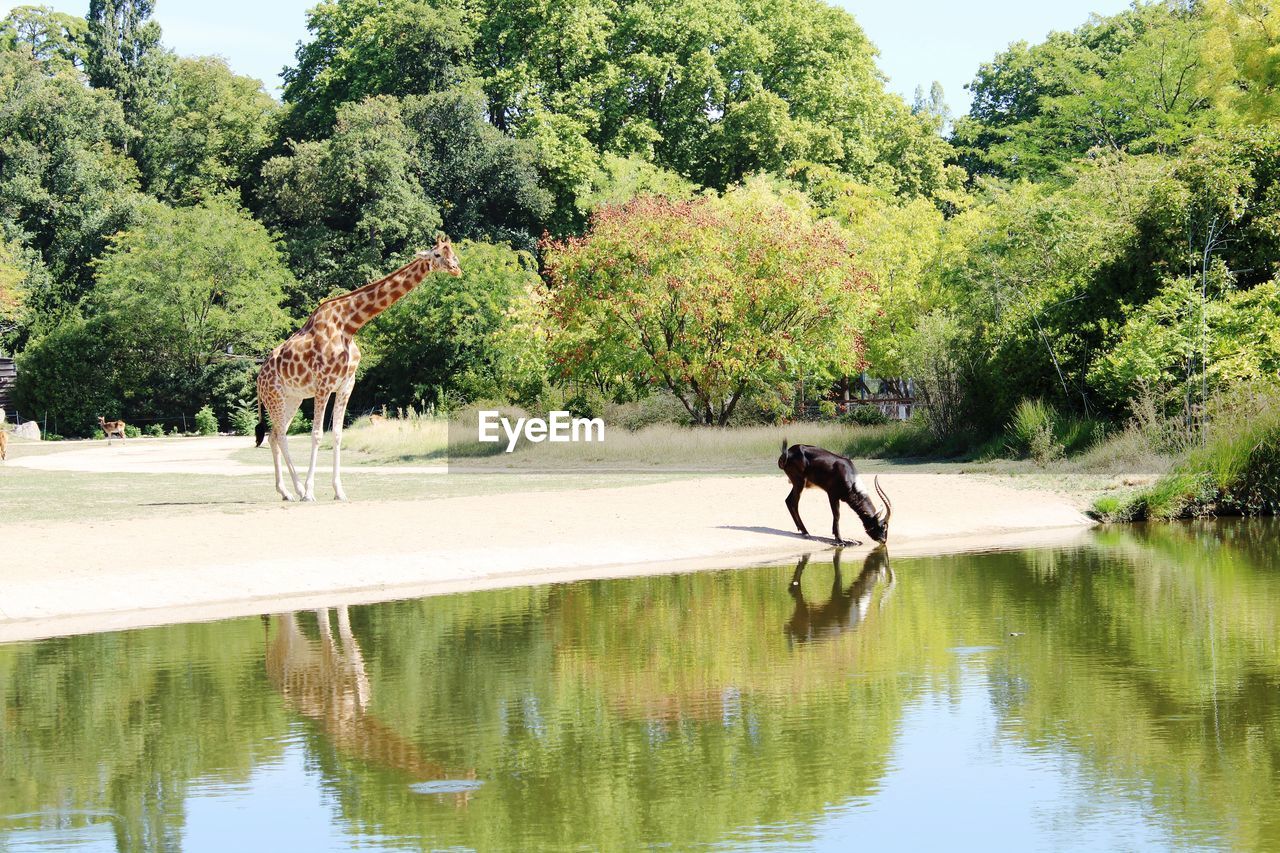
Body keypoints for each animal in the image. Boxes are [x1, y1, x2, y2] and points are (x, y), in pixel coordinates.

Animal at [254, 234, 460, 499]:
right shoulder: (323, 385)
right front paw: (310, 491)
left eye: (453, 252)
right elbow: (317, 434)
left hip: (293, 398)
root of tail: (258, 378)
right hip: (275, 397)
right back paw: (299, 490)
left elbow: (337, 434)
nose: (456, 268)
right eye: (437, 254)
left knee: (274, 436)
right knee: (279, 435)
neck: (349, 325)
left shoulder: (346, 385)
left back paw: (287, 492)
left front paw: (339, 491)